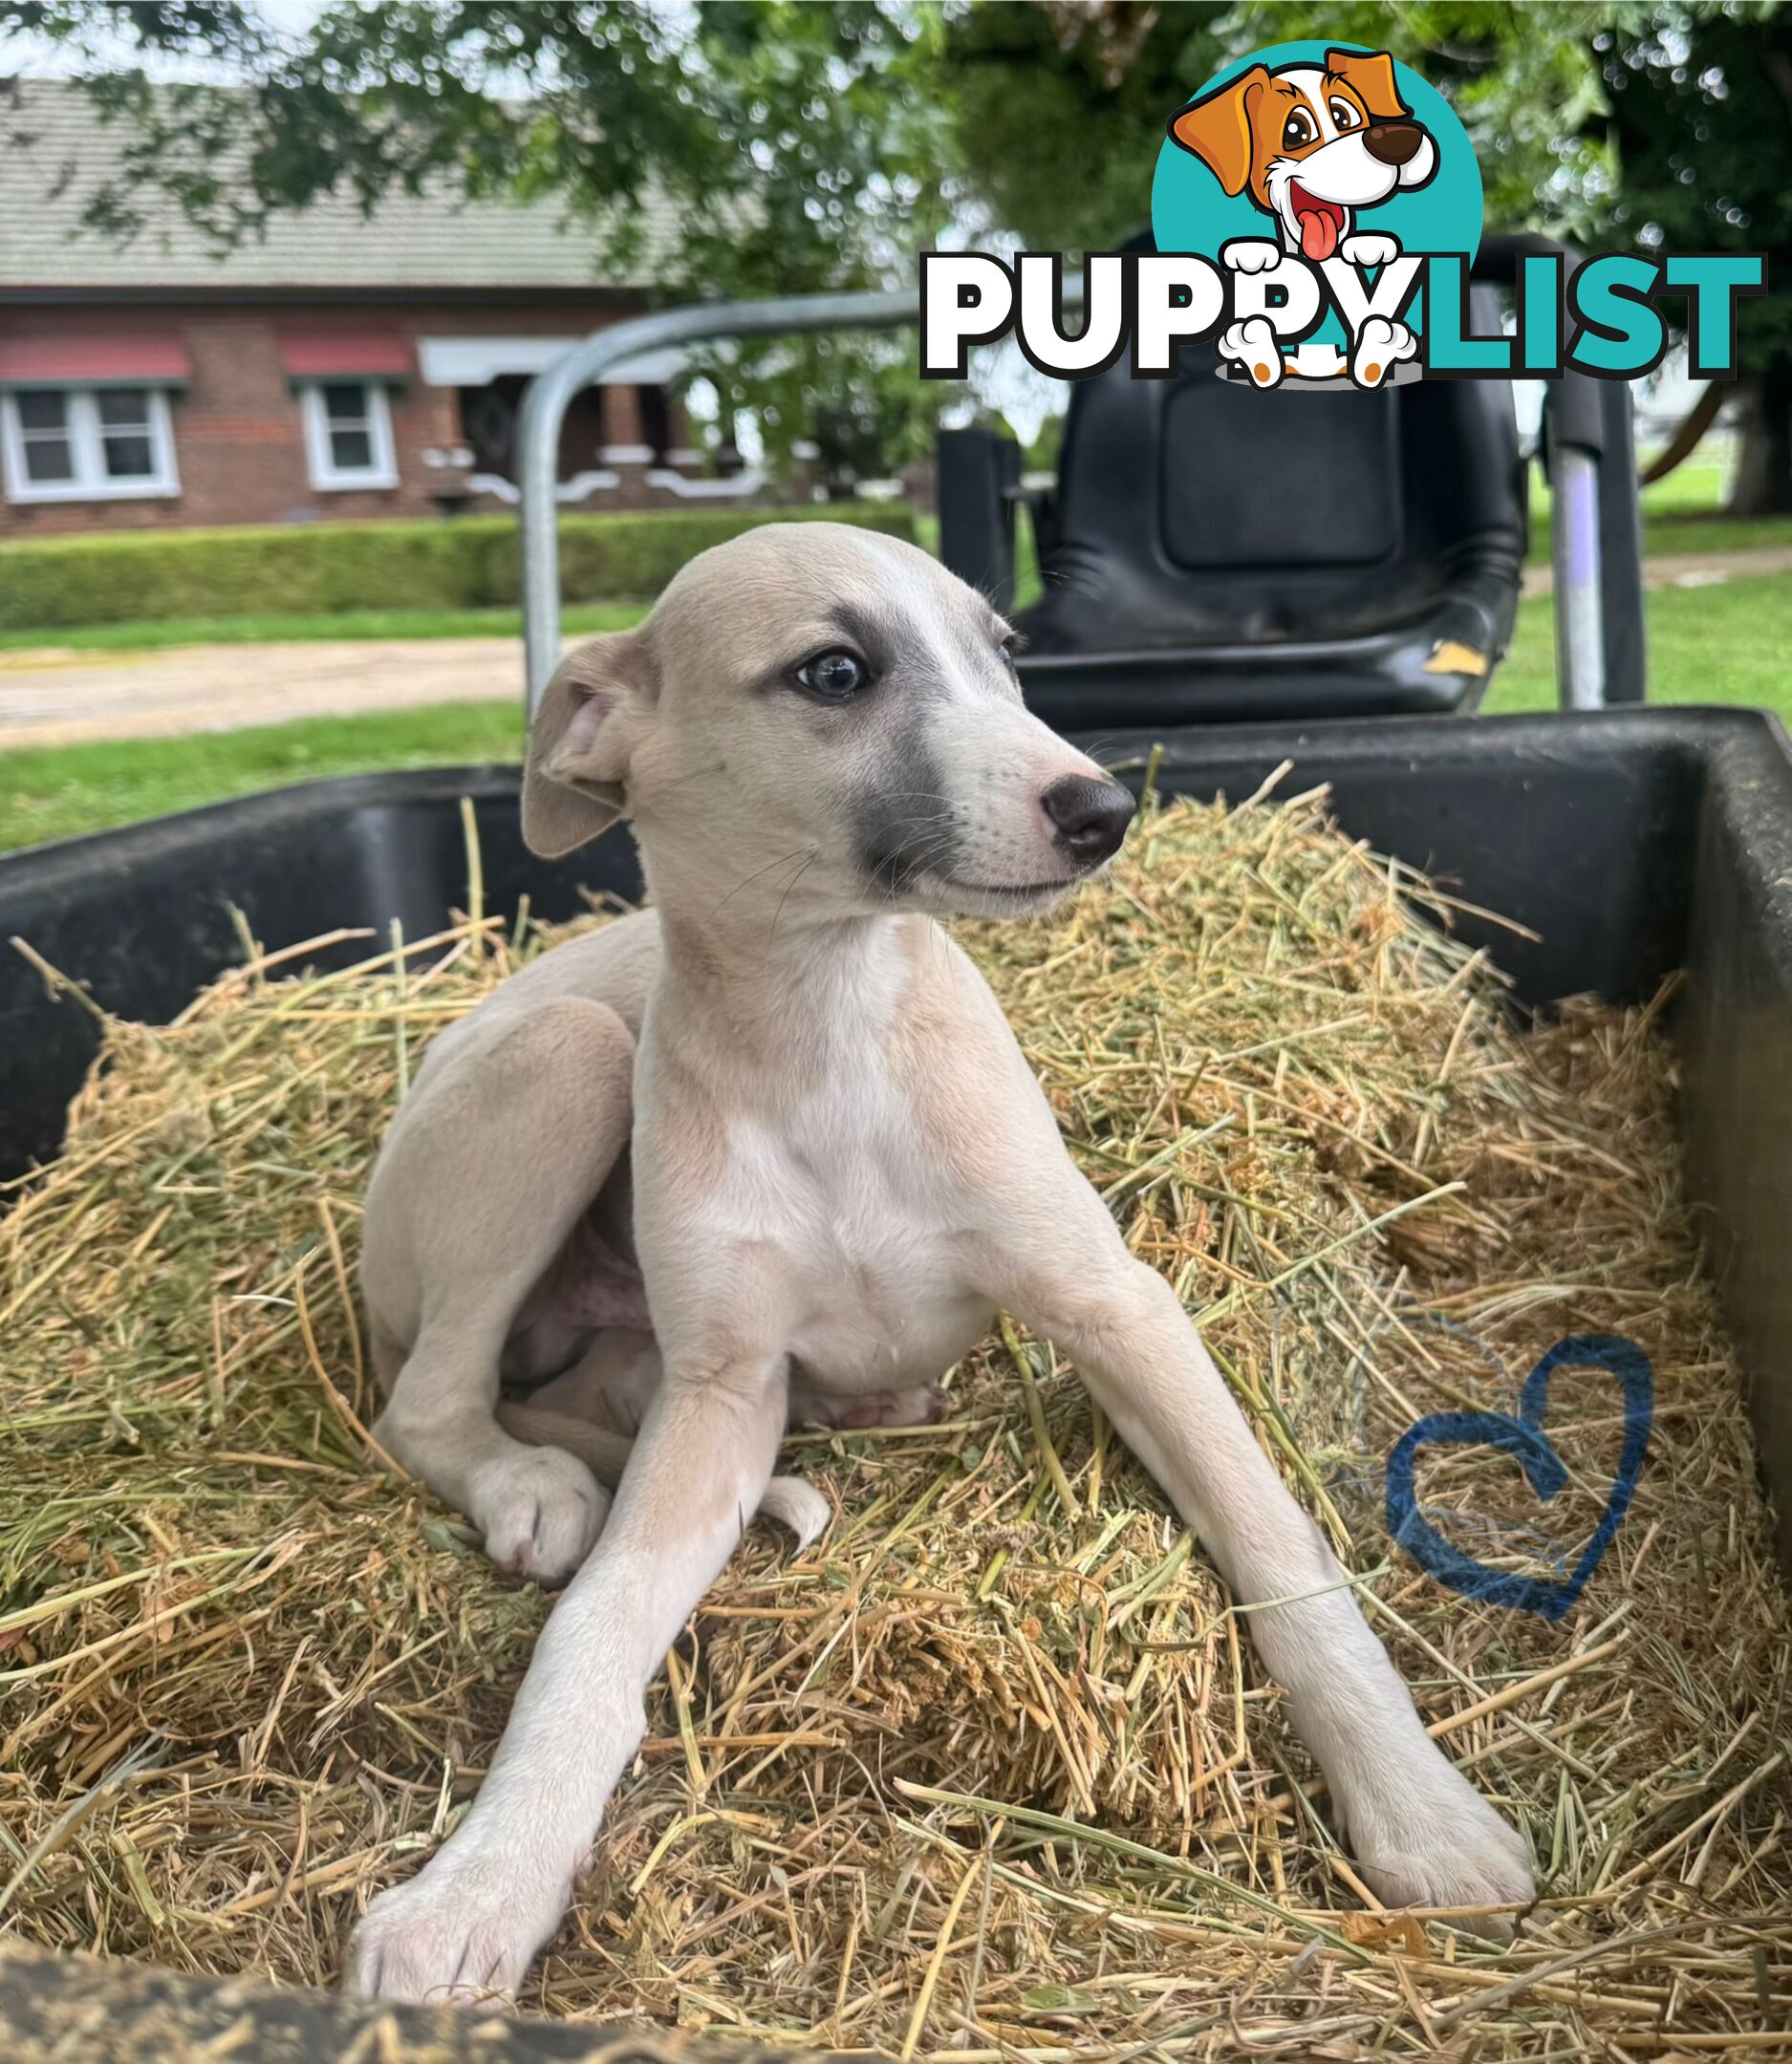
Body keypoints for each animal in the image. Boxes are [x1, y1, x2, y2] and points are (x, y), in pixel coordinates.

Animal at [342, 516, 1536, 1997]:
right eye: (833, 671)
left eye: (1007, 650)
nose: (1101, 813)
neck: (831, 1033)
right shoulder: (721, 1390)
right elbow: (591, 1629)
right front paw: (479, 1886)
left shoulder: (1119, 1306)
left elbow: (1284, 1554)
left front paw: (1421, 1814)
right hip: (565, 1062)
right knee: (426, 1403)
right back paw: (526, 1483)